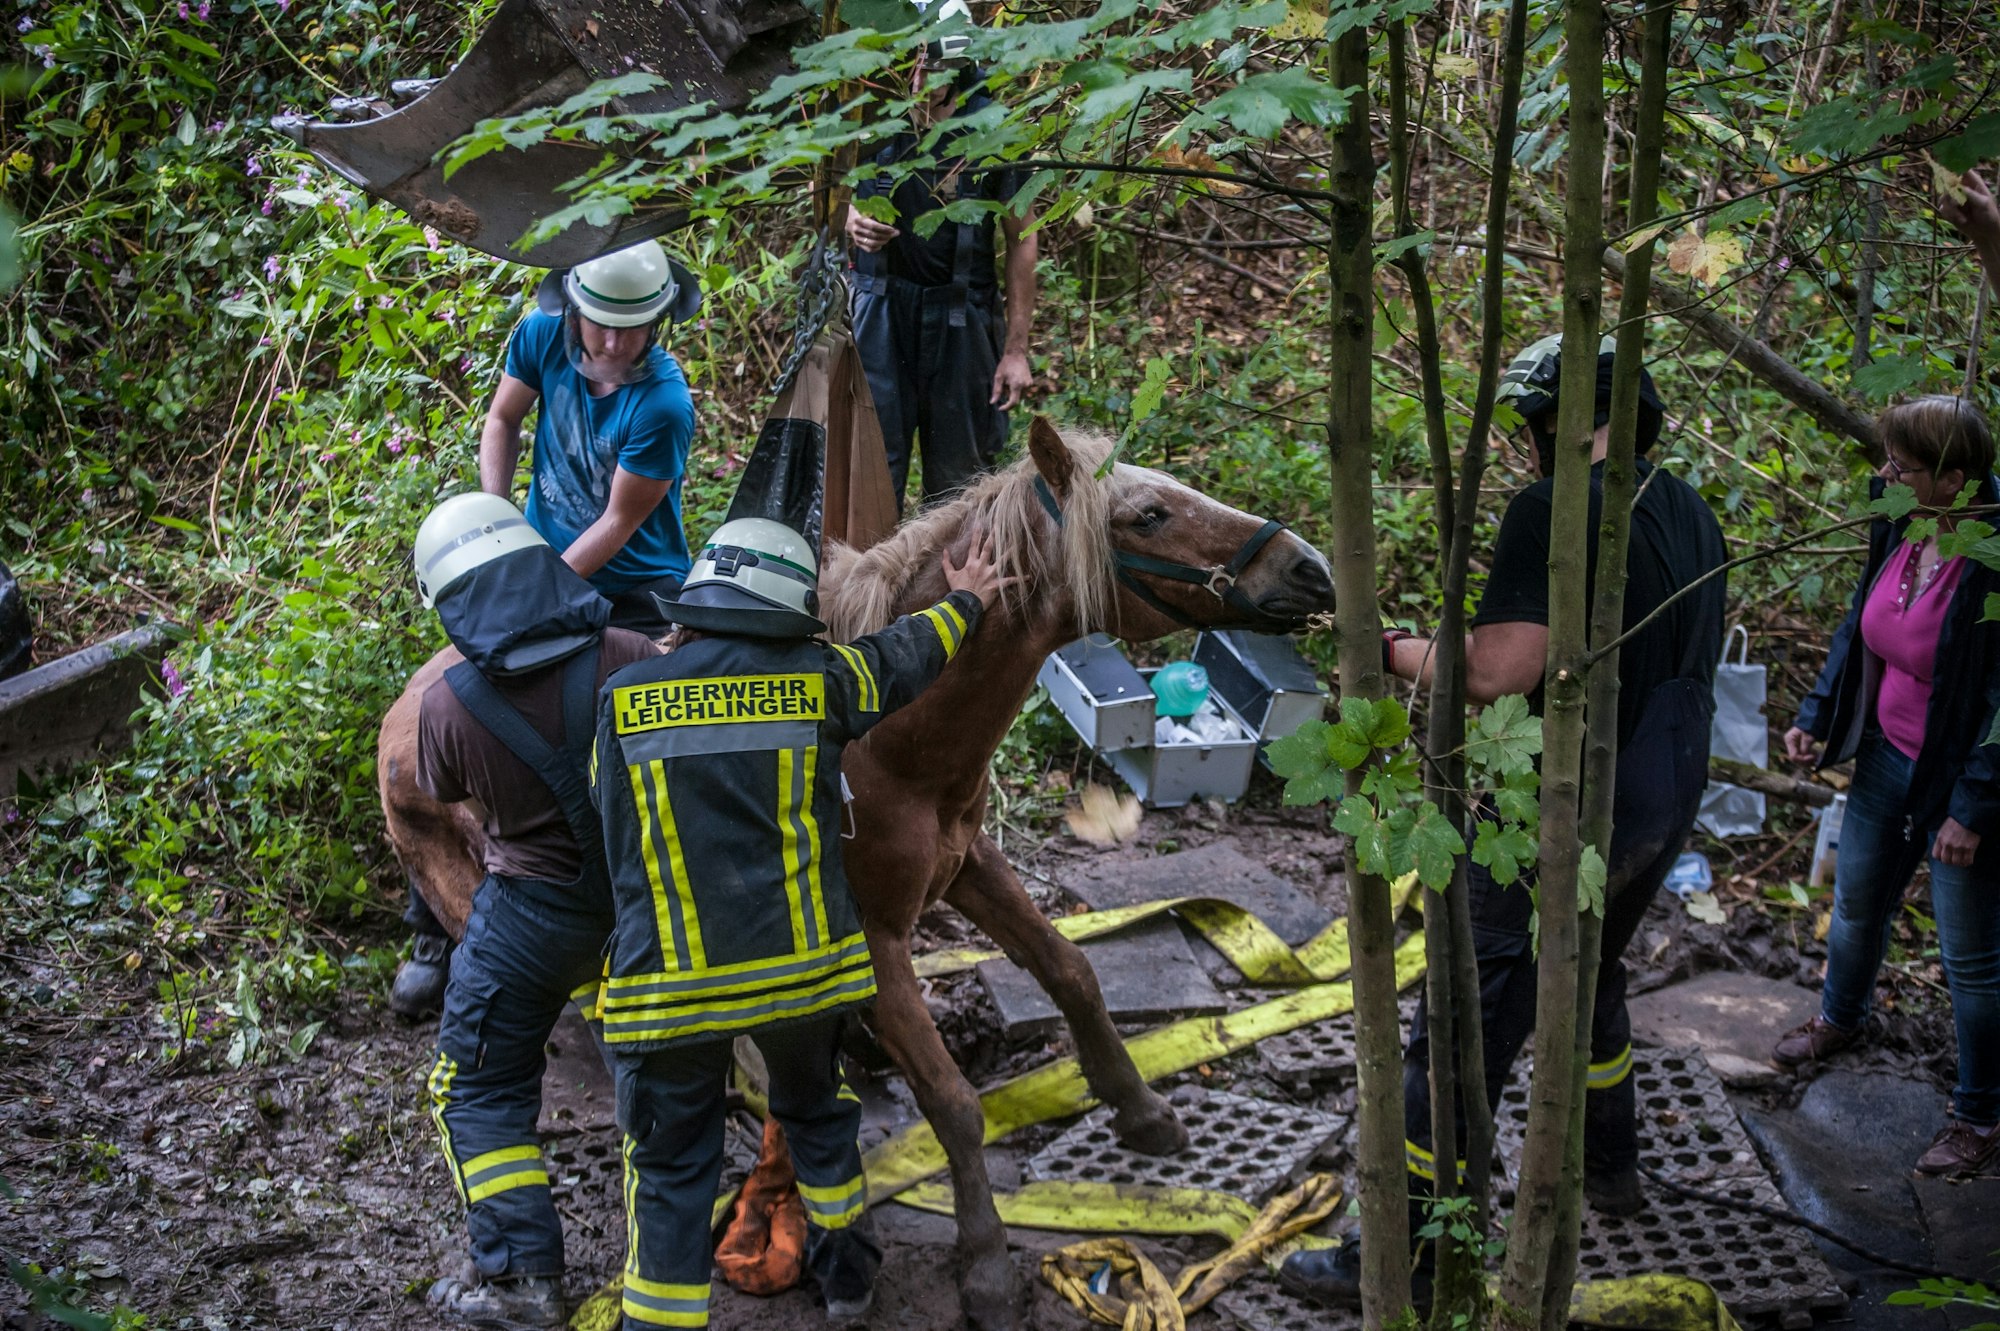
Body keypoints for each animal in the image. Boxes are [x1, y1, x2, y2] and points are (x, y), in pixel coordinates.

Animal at [375, 417, 1335, 1329]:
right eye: (1149, 514)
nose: (1314, 570)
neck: (893, 739)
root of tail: (408, 706)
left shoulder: (967, 865)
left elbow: (1071, 970)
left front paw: (1139, 1109)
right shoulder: (870, 941)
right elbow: (952, 1100)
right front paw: (985, 1266)